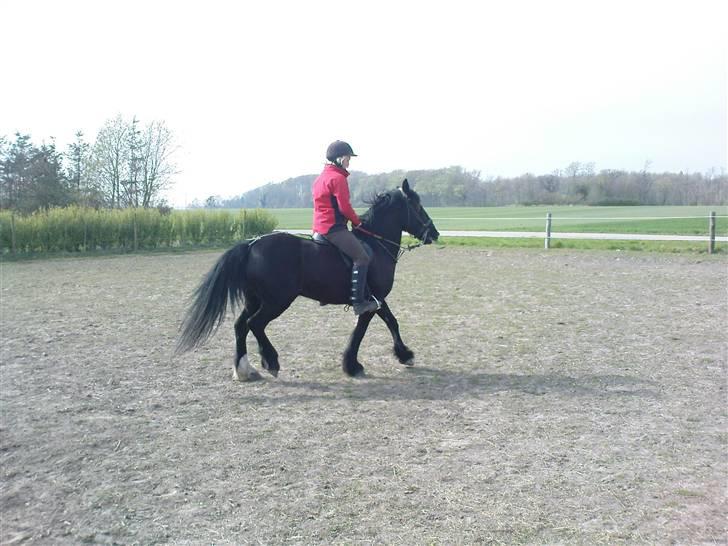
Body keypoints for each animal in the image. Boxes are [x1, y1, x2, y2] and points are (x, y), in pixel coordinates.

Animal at [175, 179, 439, 379]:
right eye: (417, 205)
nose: (434, 233)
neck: (375, 243)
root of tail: (252, 244)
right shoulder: (372, 301)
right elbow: (364, 330)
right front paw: (353, 365)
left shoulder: (377, 300)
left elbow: (391, 322)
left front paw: (403, 355)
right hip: (277, 301)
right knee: (255, 324)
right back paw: (271, 361)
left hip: (255, 299)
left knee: (241, 326)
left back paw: (244, 370)